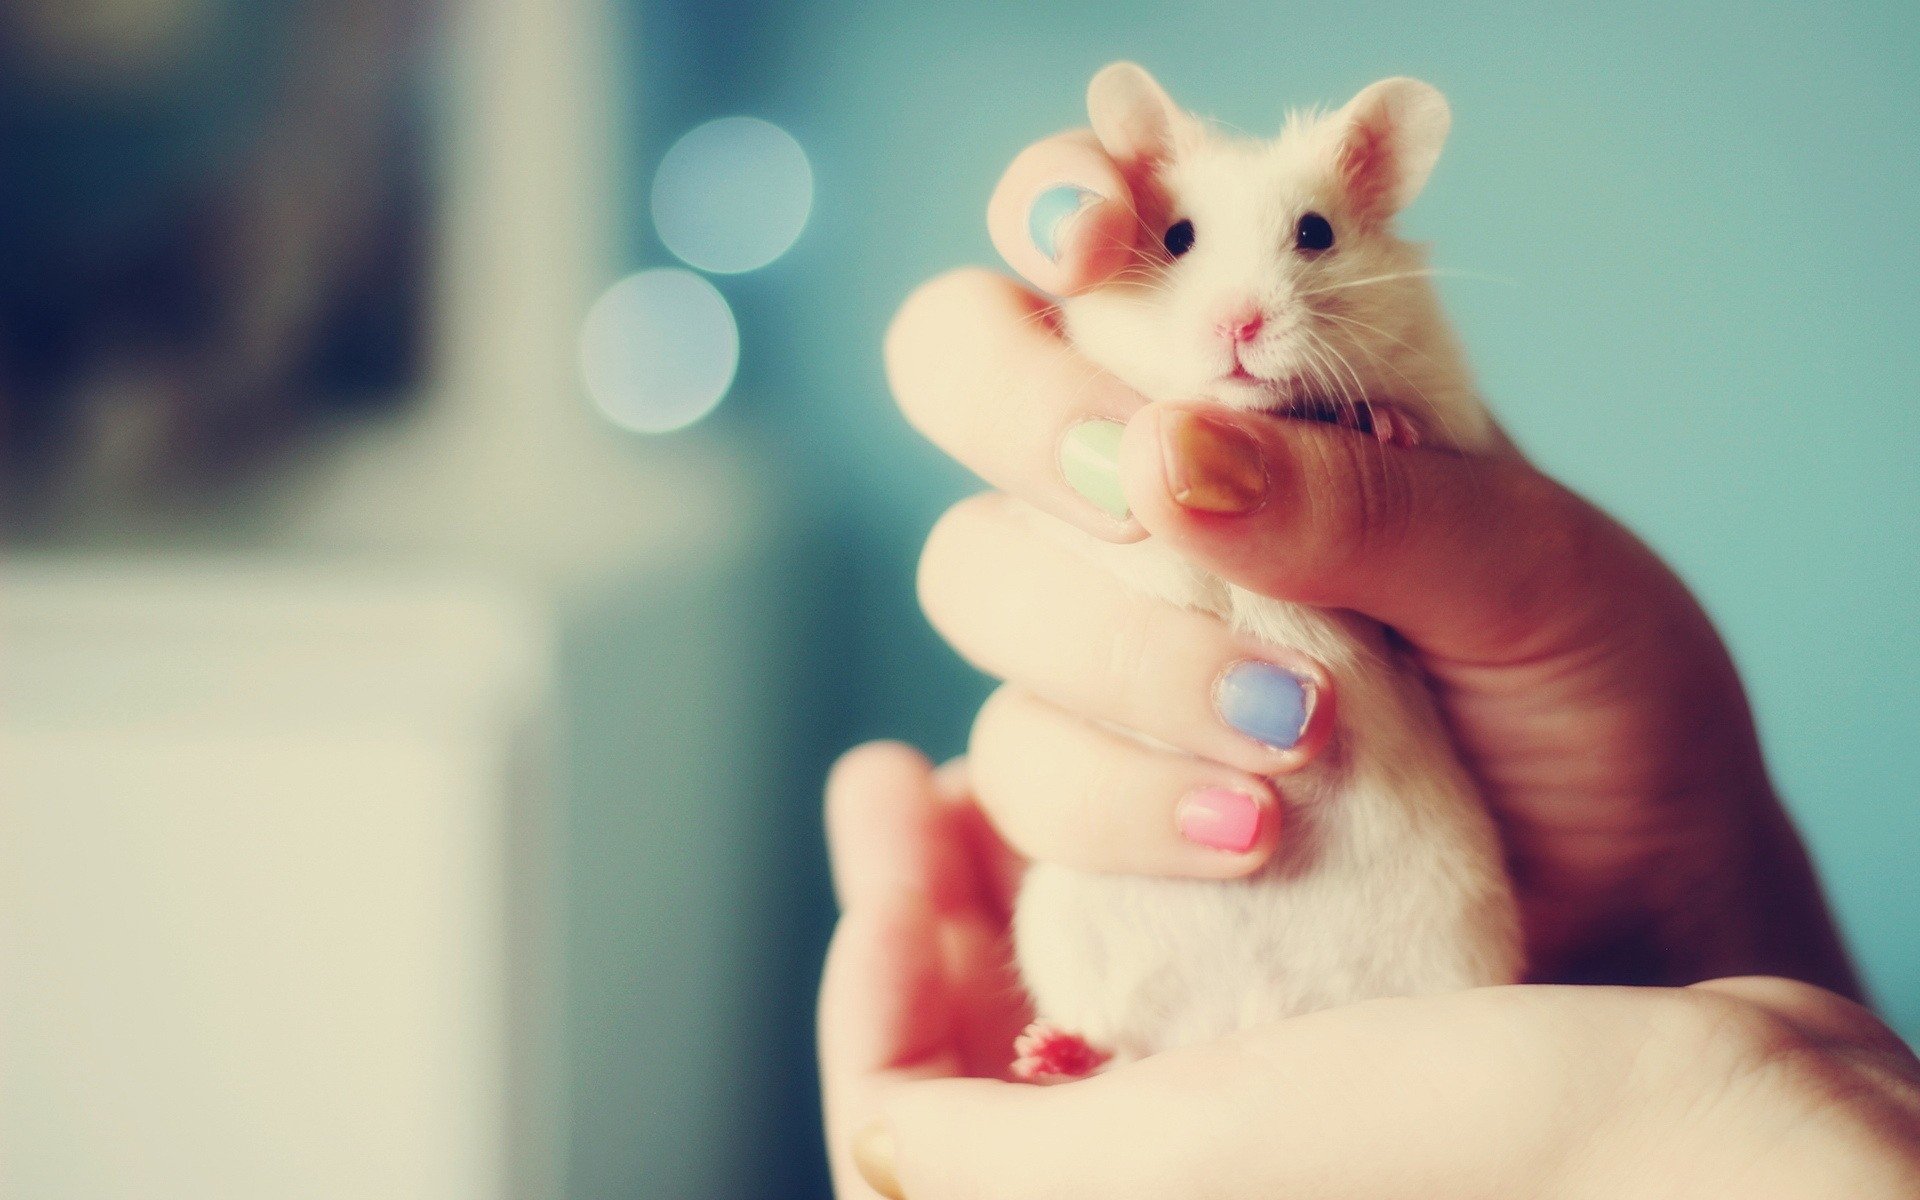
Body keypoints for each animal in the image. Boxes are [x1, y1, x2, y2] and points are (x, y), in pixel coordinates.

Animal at [1009, 64, 1523, 1080]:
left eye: (1316, 232)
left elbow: (1413, 418)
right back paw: (1046, 1053)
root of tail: (1246, 1022)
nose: (1238, 322)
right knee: (1119, 1040)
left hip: (1459, 937)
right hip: (1067, 924)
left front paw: (1378, 425)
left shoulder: (1453, 407)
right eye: (1176, 237)